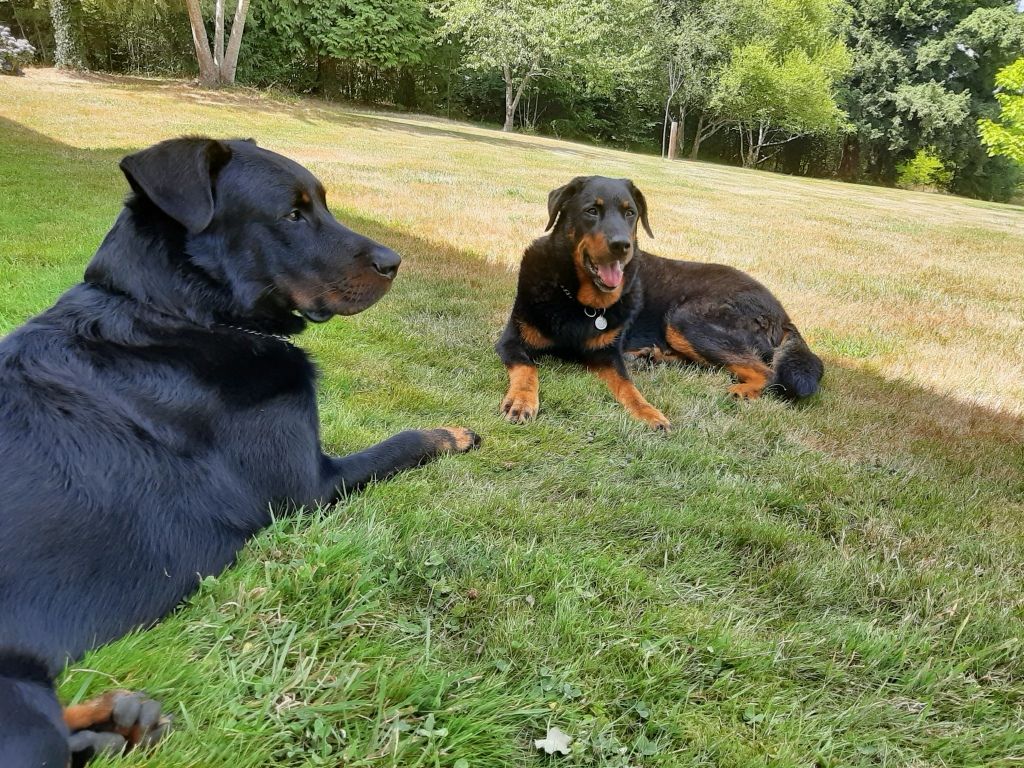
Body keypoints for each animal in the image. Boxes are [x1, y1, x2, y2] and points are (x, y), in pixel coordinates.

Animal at [1, 138, 479, 768]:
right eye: (293, 214)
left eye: (322, 203)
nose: (394, 261)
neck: (178, 313)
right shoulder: (308, 489)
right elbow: (400, 443)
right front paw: (452, 434)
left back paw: (121, 719)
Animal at [495, 176, 823, 434]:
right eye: (591, 210)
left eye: (630, 213)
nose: (622, 245)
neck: (579, 301)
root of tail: (783, 314)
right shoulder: (511, 341)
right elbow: (527, 368)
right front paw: (522, 400)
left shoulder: (607, 354)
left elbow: (628, 387)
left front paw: (648, 412)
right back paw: (652, 356)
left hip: (685, 318)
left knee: (766, 372)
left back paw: (738, 389)